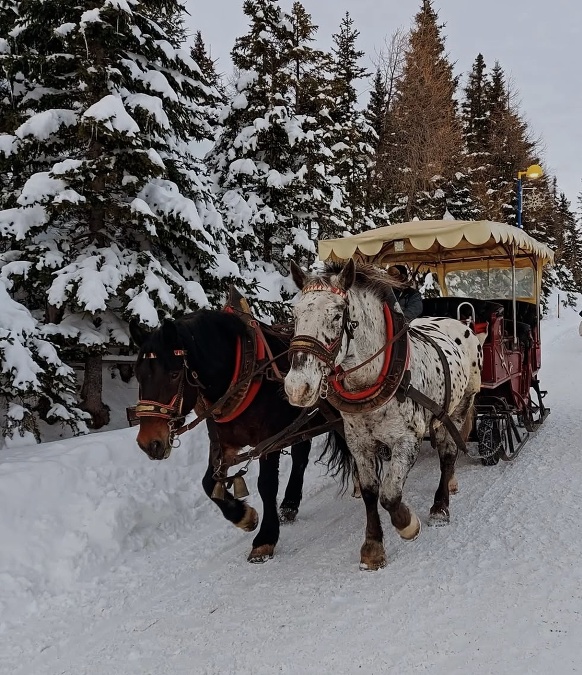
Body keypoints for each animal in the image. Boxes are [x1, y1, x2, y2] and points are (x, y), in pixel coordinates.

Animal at [131, 296, 350, 564]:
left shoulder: (270, 438)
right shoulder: (222, 442)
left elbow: (266, 485)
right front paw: (244, 516)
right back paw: (289, 503)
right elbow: (208, 484)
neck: (241, 374)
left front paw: (265, 538)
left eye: (173, 374)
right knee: (301, 456)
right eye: (138, 375)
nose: (149, 442)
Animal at [286, 260, 484, 572]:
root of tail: (462, 324)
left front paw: (407, 524)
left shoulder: (407, 440)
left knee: (448, 453)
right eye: (294, 314)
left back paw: (440, 507)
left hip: (459, 405)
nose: (297, 387)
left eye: (337, 315)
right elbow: (370, 492)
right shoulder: (358, 442)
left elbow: (390, 495)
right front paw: (373, 548)